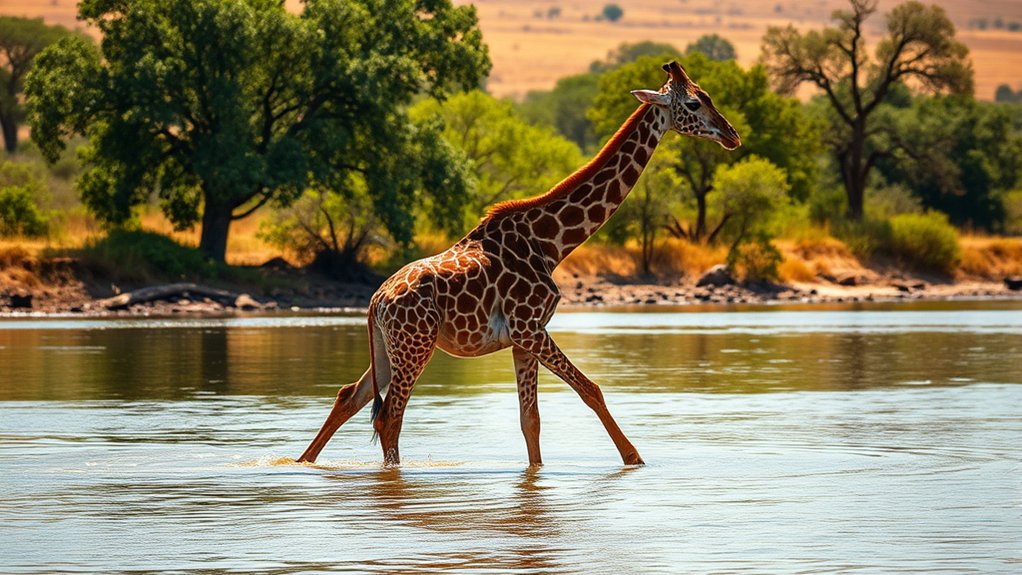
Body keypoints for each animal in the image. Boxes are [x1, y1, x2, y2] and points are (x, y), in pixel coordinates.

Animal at [297, 61, 740, 466]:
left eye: (707, 96)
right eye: (694, 102)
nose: (732, 135)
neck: (551, 243)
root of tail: (375, 301)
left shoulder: (522, 338)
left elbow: (531, 420)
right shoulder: (529, 328)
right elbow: (590, 389)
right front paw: (634, 459)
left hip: (390, 350)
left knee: (349, 396)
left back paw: (302, 464)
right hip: (415, 346)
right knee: (390, 417)